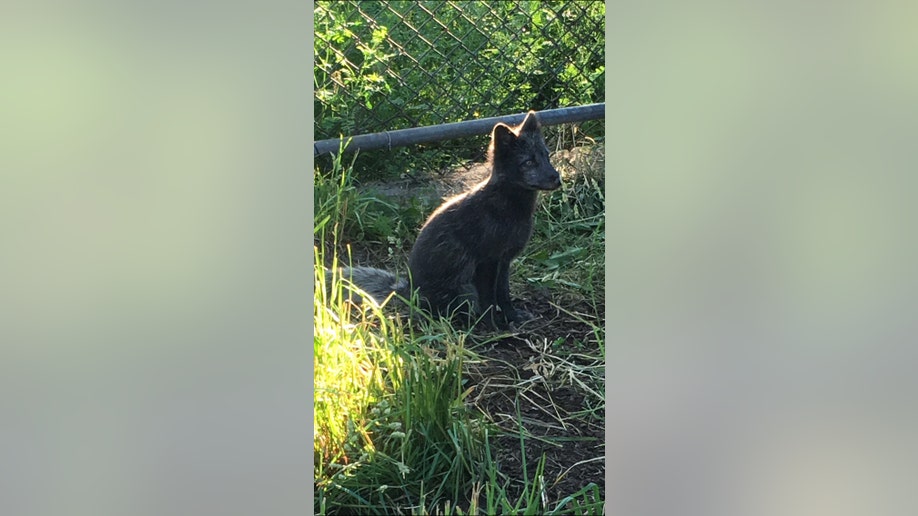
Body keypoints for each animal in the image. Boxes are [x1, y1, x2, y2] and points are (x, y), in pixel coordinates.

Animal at [330, 110, 560, 326]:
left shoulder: (504, 262)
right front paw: (495, 327)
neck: (507, 208)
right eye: (528, 162)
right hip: (465, 289)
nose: (557, 178)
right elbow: (489, 300)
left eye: (546, 156)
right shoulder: (487, 263)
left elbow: (504, 295)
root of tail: (409, 293)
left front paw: (512, 316)